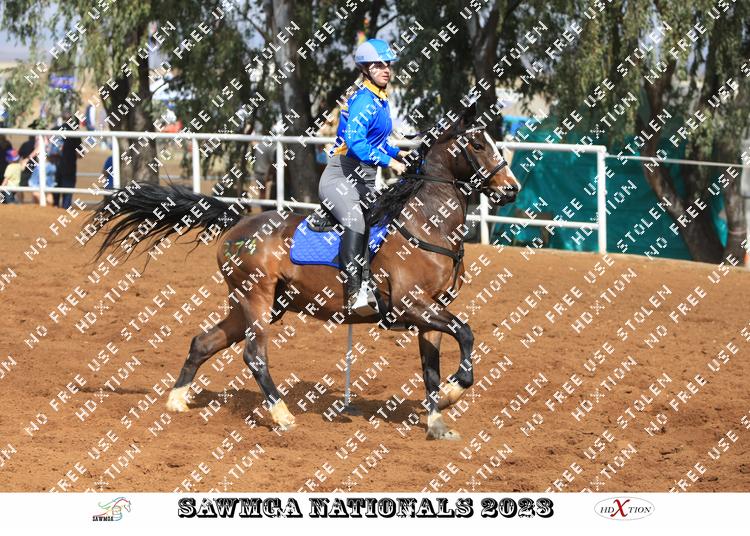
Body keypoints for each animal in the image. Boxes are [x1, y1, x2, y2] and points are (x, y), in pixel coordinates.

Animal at [87, 103, 520, 440]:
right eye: (478, 144)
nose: (512, 188)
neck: (426, 222)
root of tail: (237, 223)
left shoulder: (431, 310)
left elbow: (432, 367)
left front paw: (437, 418)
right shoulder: (411, 304)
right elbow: (467, 333)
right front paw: (452, 392)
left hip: (251, 305)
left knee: (203, 342)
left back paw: (177, 400)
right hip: (256, 299)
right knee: (254, 356)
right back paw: (282, 415)